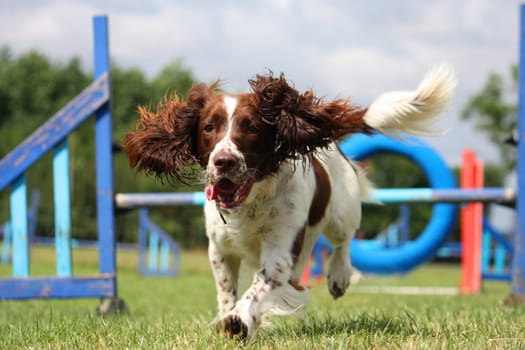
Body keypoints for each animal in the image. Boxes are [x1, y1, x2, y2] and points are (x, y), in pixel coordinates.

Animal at [124, 65, 454, 340]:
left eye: (252, 127)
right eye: (208, 127)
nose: (224, 161)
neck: (251, 201)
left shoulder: (281, 249)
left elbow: (259, 287)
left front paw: (239, 321)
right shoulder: (220, 248)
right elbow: (227, 290)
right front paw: (229, 317)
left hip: (342, 213)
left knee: (343, 242)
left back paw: (338, 276)